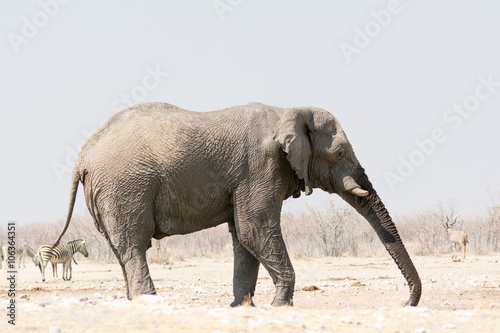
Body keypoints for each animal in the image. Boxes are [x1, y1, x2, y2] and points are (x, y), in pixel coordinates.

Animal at [53, 101, 422, 306]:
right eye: (341, 153)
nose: (405, 303)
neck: (287, 112)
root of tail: (83, 156)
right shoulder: (260, 167)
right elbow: (254, 230)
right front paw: (279, 306)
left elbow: (244, 238)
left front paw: (242, 308)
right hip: (126, 187)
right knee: (133, 245)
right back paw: (149, 303)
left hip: (110, 192)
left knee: (120, 249)